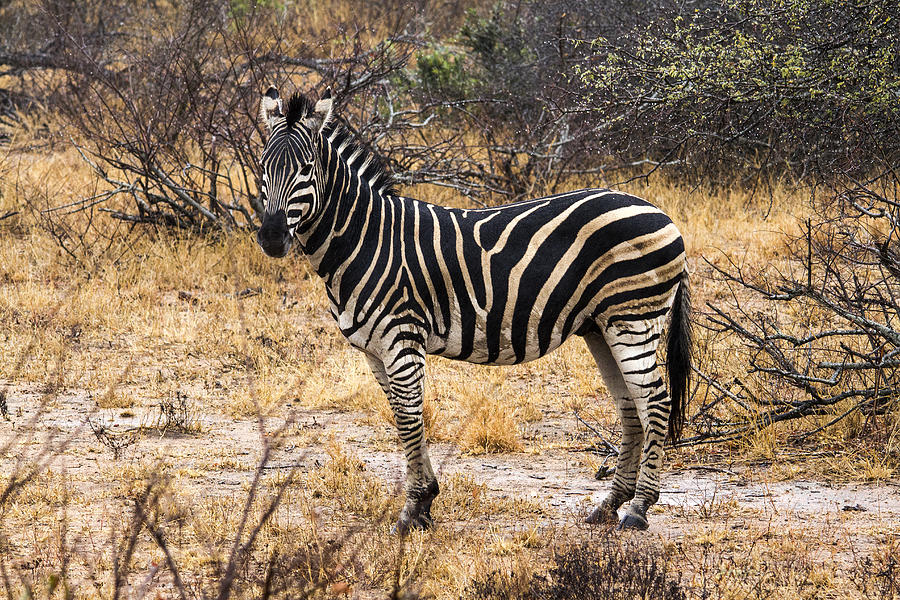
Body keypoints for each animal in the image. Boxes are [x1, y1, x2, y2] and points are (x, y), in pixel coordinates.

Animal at [256, 86, 692, 532]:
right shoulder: (374, 349)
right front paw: (425, 502)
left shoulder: (402, 339)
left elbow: (410, 419)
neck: (365, 240)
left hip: (633, 318)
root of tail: (662, 214)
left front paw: (413, 509)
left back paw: (638, 509)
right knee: (631, 406)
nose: (271, 238)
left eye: (307, 169)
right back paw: (608, 504)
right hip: (602, 327)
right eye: (262, 166)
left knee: (656, 401)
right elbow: (402, 416)